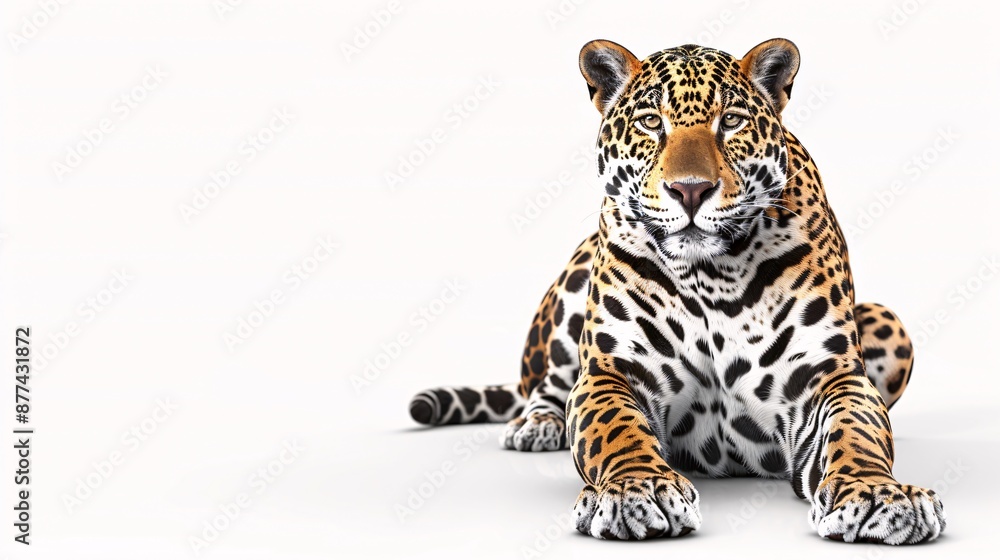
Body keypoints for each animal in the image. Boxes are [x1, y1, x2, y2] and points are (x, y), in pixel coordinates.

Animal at [408, 38, 946, 544]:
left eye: (731, 121)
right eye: (650, 122)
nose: (690, 190)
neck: (713, 275)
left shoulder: (827, 376)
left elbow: (856, 432)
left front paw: (878, 495)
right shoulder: (612, 370)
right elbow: (615, 431)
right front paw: (635, 491)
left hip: (889, 322)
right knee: (544, 385)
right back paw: (537, 424)